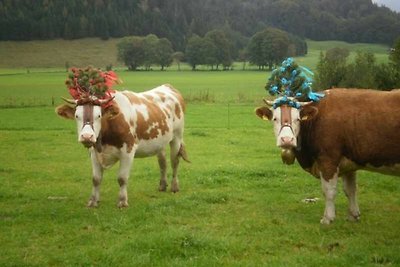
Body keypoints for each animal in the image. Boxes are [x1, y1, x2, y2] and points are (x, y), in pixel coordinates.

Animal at [55, 85, 191, 208]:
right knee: (163, 163)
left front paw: (122, 201)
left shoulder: (128, 151)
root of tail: (168, 87)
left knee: (174, 162)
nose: (87, 136)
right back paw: (162, 185)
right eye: (77, 116)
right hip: (160, 142)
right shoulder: (94, 153)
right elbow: (96, 179)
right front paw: (93, 201)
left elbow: (122, 178)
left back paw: (174, 187)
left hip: (177, 137)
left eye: (99, 116)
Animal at [256, 89, 400, 224]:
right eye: (275, 118)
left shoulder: (328, 160)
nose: (287, 139)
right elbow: (350, 190)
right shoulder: (349, 163)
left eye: (298, 119)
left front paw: (327, 218)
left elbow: (329, 191)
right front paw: (353, 215)